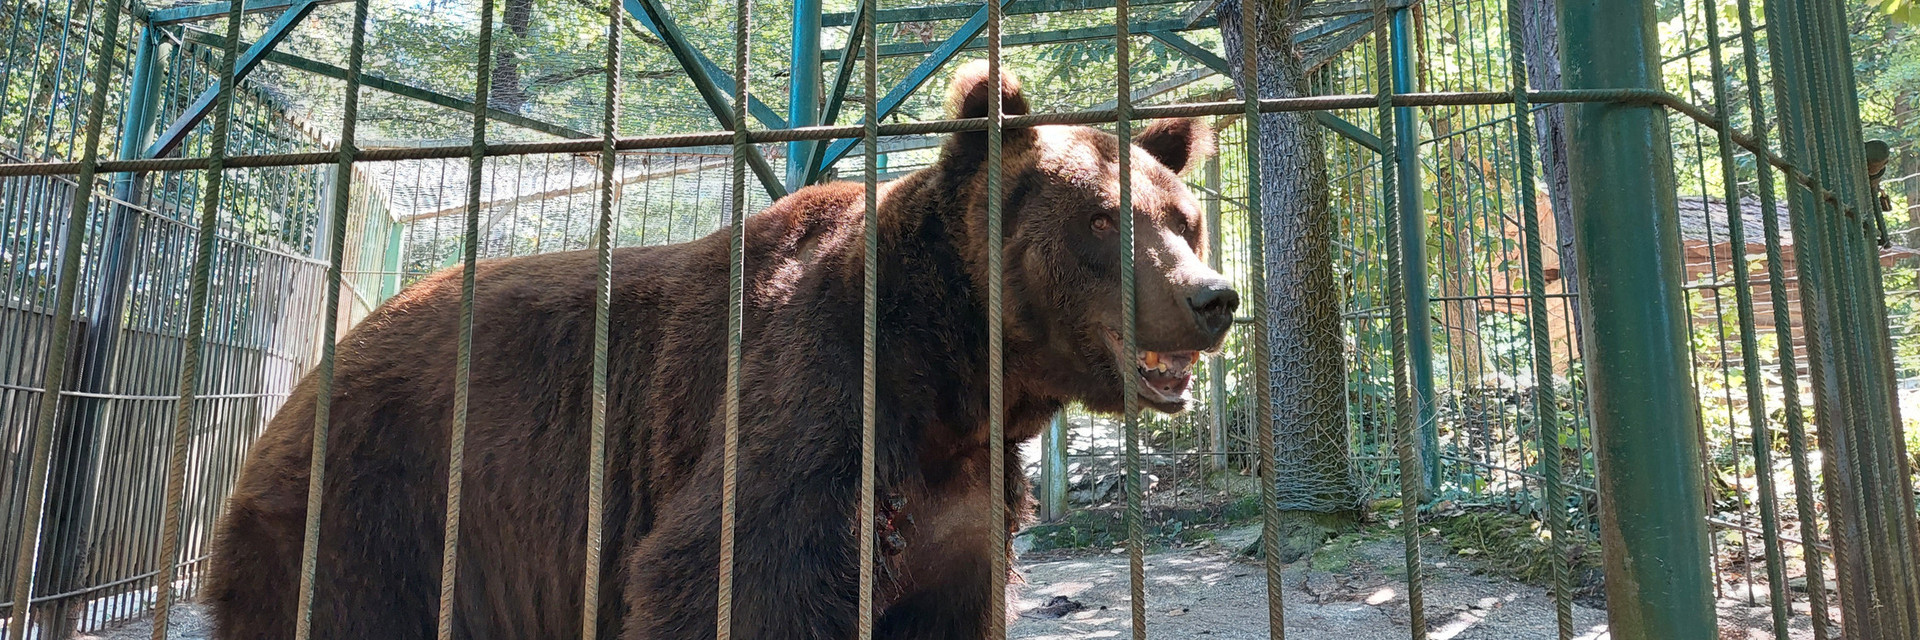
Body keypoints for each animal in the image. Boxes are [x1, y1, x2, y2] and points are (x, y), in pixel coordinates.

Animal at [204, 61, 1237, 640]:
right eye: (1103, 220)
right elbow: (728, 577)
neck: (951, 375)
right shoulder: (813, 401)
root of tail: (313, 371)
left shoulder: (960, 507)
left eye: (1183, 217)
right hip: (378, 510)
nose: (1214, 297)